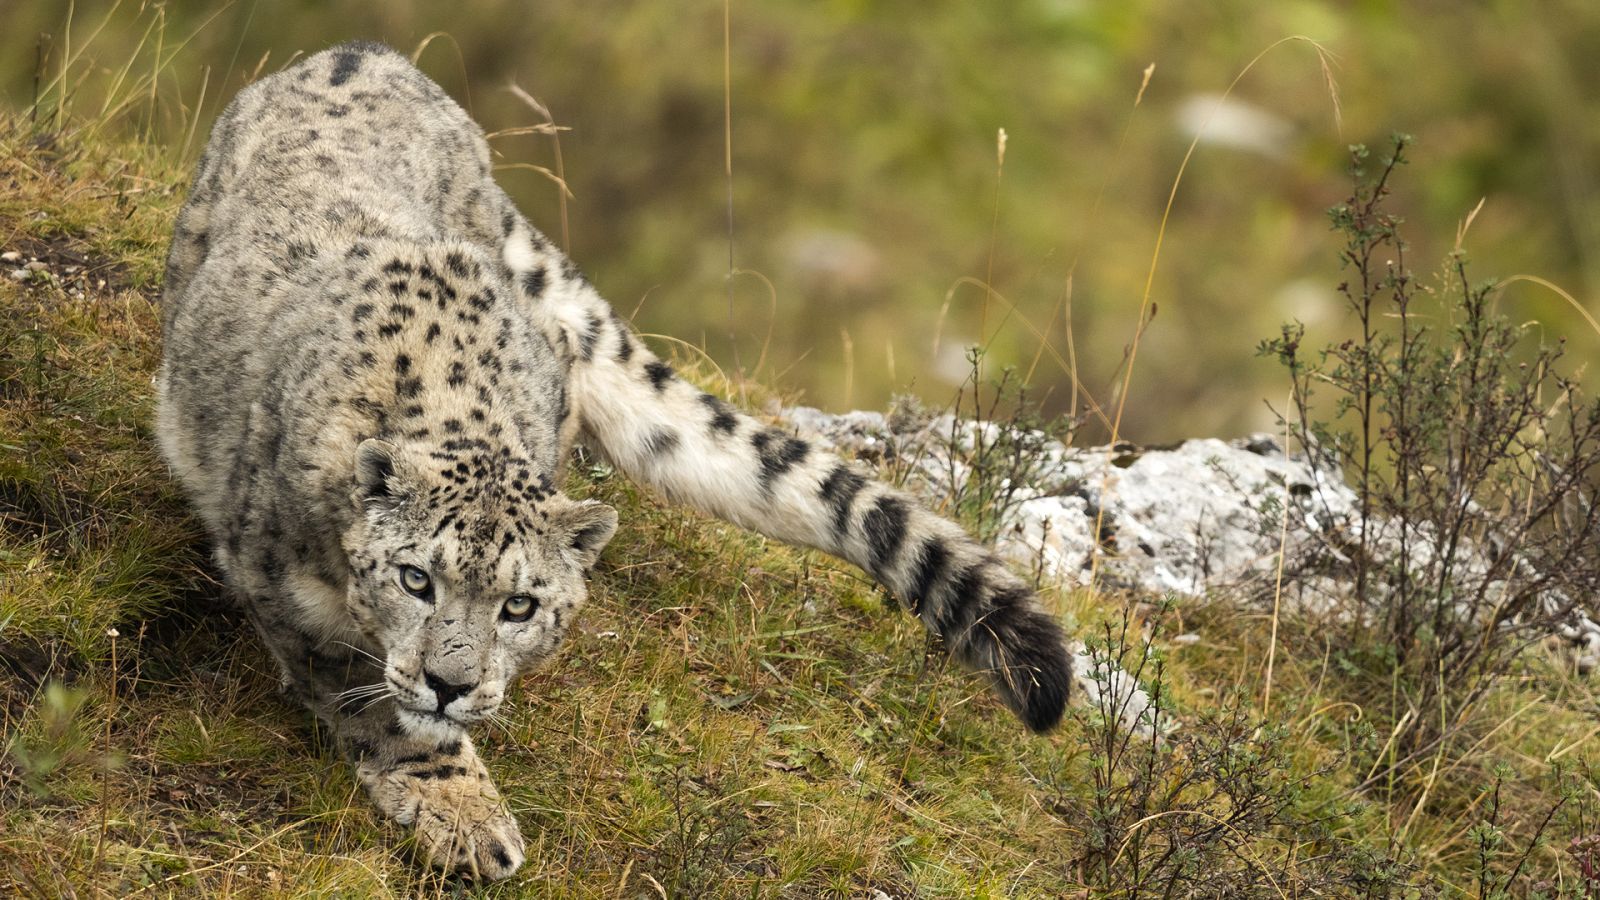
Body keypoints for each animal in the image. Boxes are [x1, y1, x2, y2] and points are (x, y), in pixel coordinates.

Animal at [155, 40, 1074, 881]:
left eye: (520, 605)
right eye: (416, 579)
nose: (454, 682)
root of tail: (364, 52)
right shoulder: (281, 586)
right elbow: (375, 702)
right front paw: (467, 814)